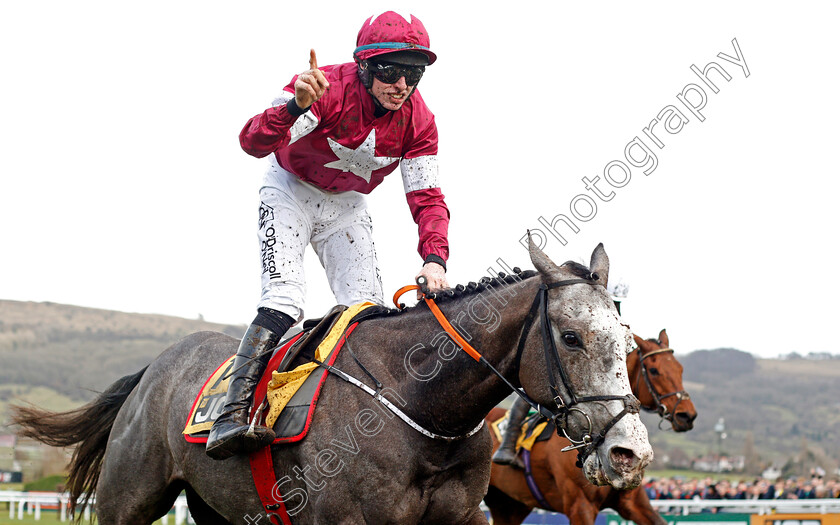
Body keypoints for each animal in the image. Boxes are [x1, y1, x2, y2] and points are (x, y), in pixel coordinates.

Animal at [482, 328, 700, 524]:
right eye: (654, 371)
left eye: (680, 369)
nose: (687, 415)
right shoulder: (580, 505)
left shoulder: (633, 503)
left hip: (510, 505)